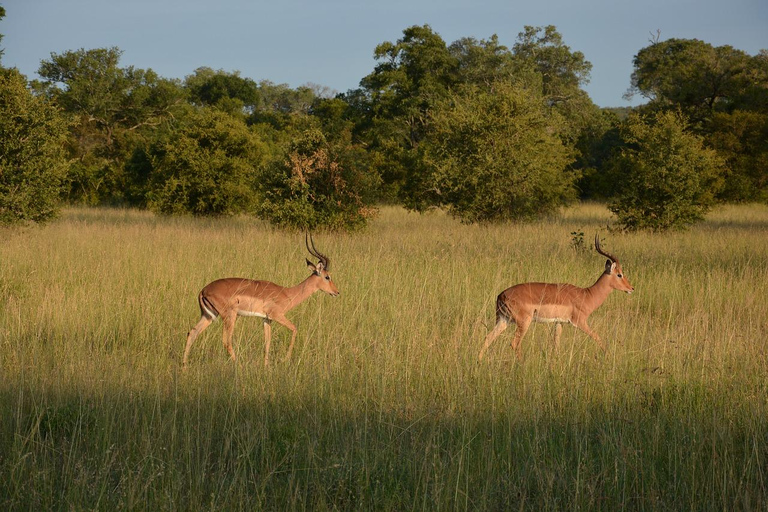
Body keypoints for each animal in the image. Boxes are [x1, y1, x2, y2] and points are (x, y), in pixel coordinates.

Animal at [183, 234, 340, 370]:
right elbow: (295, 329)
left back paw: (184, 368)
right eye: (327, 277)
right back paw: (239, 365)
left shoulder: (266, 319)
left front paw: (266, 367)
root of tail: (203, 290)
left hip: (209, 316)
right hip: (229, 316)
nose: (336, 292)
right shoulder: (277, 316)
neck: (286, 293)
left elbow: (267, 342)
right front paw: (285, 360)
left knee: (192, 333)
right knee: (226, 340)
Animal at [476, 236, 632, 360]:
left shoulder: (559, 322)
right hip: (523, 322)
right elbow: (597, 337)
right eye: (619, 274)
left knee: (488, 337)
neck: (587, 295)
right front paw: (608, 355)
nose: (631, 288)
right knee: (514, 343)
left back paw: (479, 362)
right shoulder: (580, 322)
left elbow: (556, 345)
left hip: (504, 320)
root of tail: (501, 295)